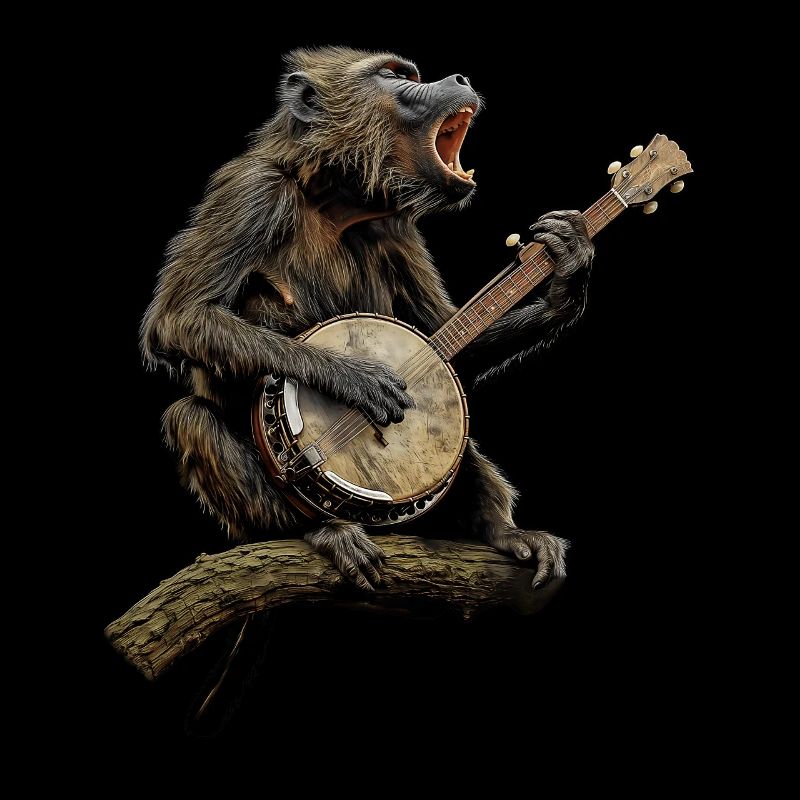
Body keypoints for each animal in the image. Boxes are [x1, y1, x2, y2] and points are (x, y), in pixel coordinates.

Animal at [141, 47, 594, 593]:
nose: (459, 78)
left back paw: (503, 531)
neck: (334, 200)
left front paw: (567, 267)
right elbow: (181, 316)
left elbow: (448, 333)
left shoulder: (398, 227)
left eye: (412, 74)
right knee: (189, 417)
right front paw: (358, 380)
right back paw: (322, 530)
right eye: (394, 76)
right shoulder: (250, 192)